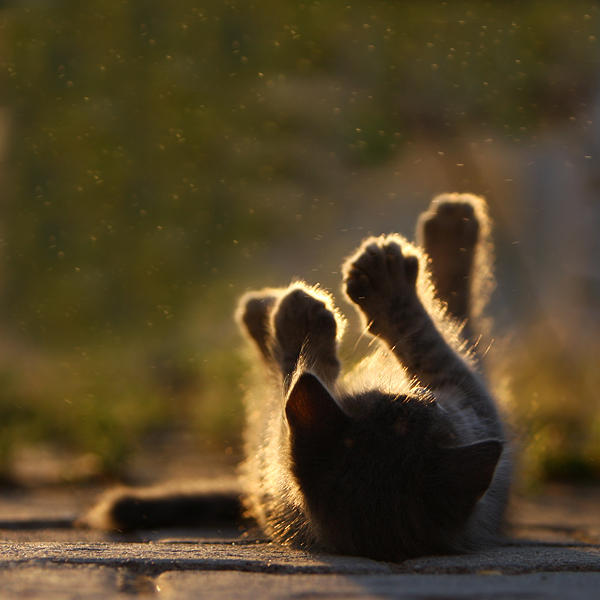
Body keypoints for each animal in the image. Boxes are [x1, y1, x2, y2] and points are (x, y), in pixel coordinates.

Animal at [79, 193, 510, 564]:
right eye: (430, 410)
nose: (425, 396)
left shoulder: (474, 404)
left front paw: (299, 322)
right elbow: (420, 339)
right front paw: (299, 321)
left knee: (456, 313)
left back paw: (451, 225)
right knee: (455, 315)